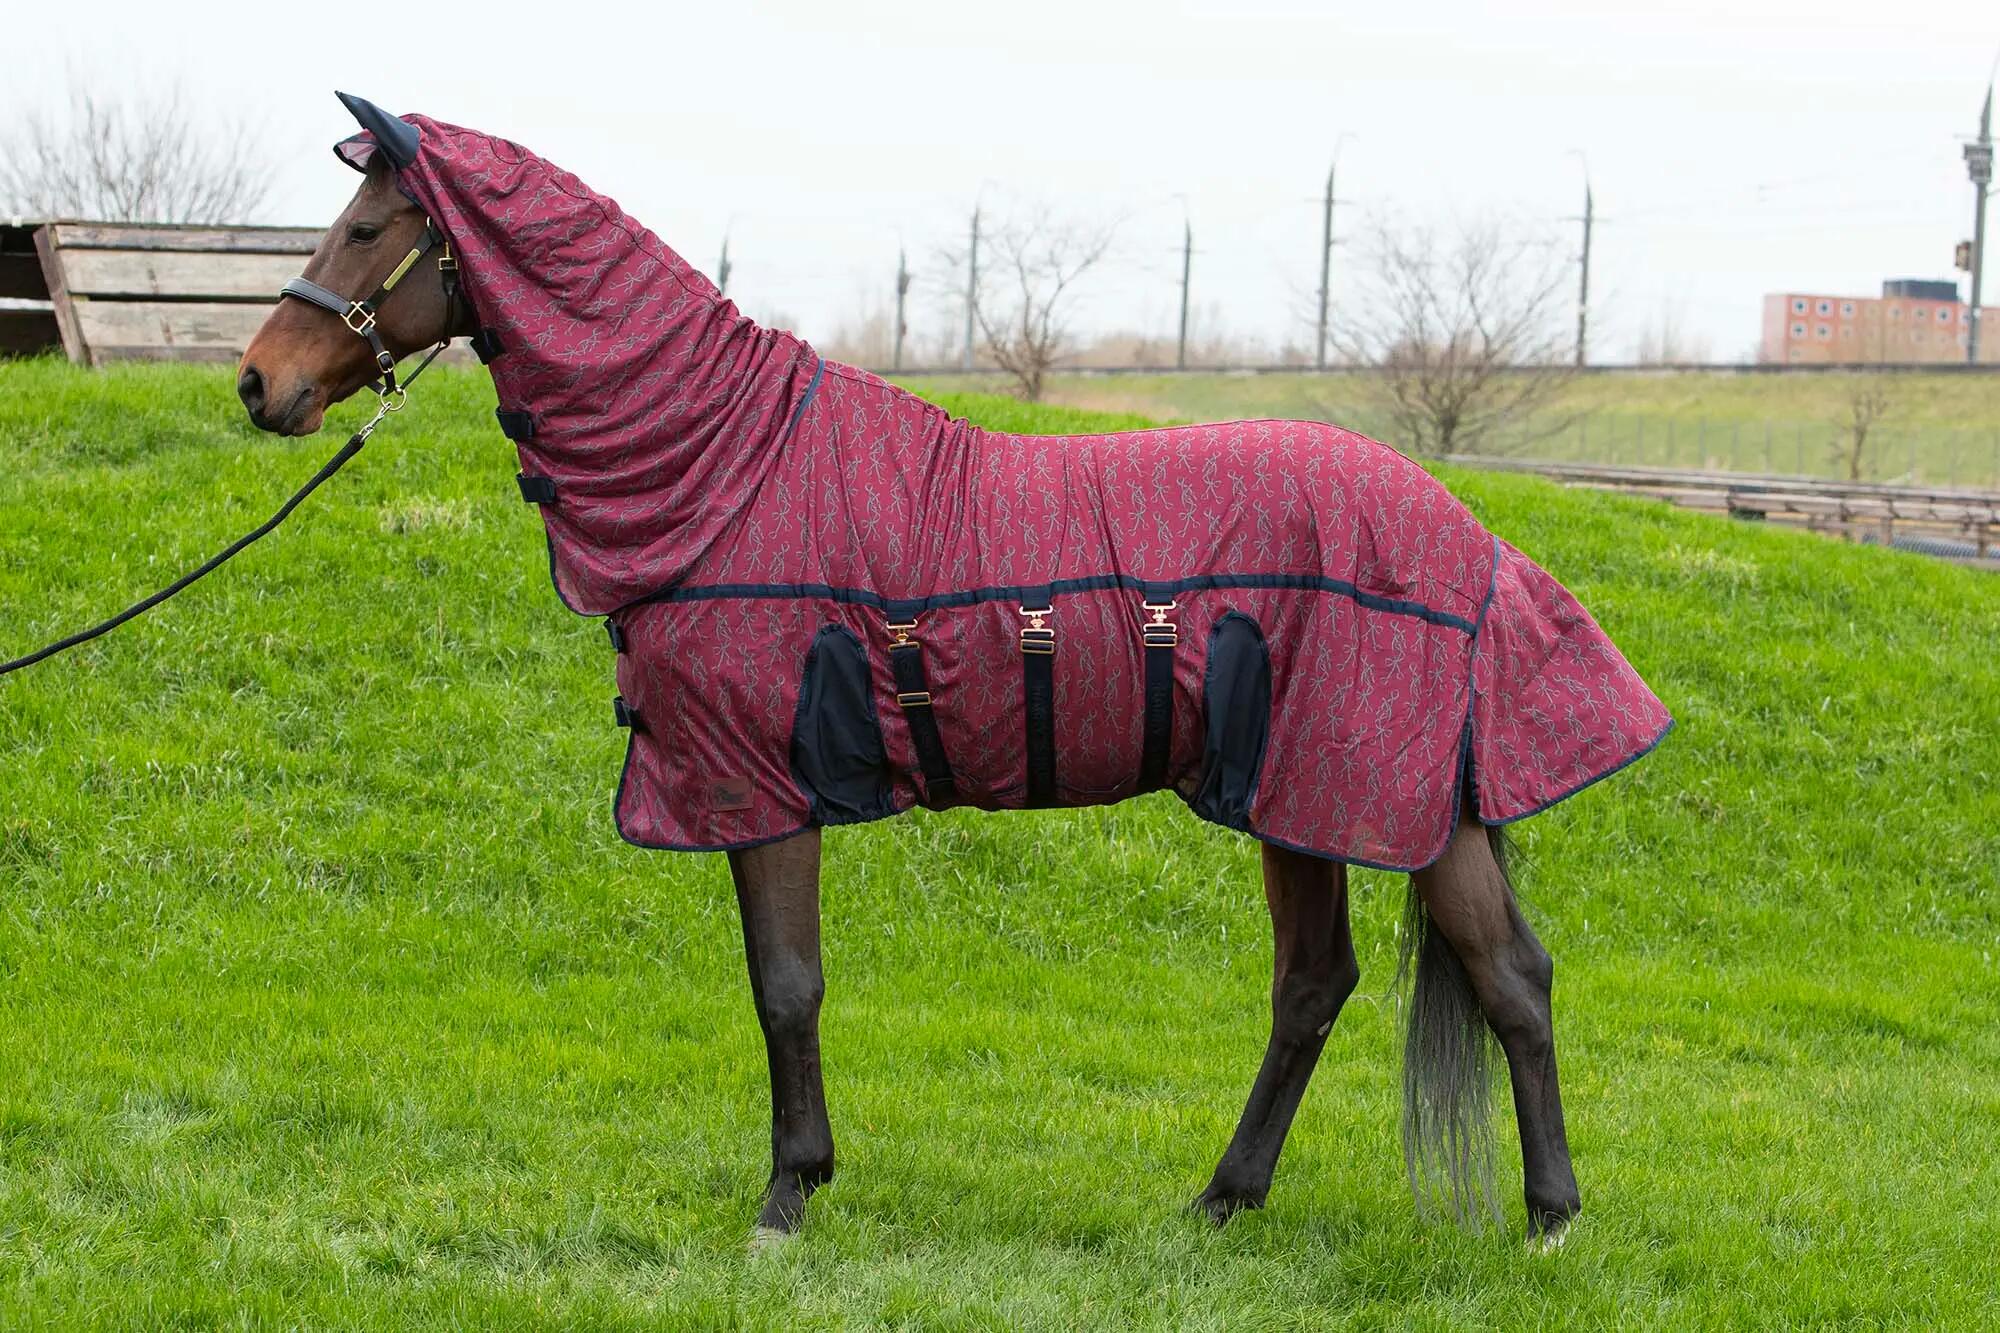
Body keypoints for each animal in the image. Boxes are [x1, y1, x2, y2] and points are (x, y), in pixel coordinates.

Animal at [237, 94, 1670, 1249]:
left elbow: (786, 986)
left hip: (1385, 800)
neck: (731, 467)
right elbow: (784, 983)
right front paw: (801, 1183)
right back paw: (1220, 1203)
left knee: (1509, 979)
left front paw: (786, 1198)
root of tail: (1465, 534)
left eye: (368, 227)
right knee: (1316, 985)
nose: (259, 385)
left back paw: (1548, 1220)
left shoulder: (762, 786)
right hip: (1297, 803)